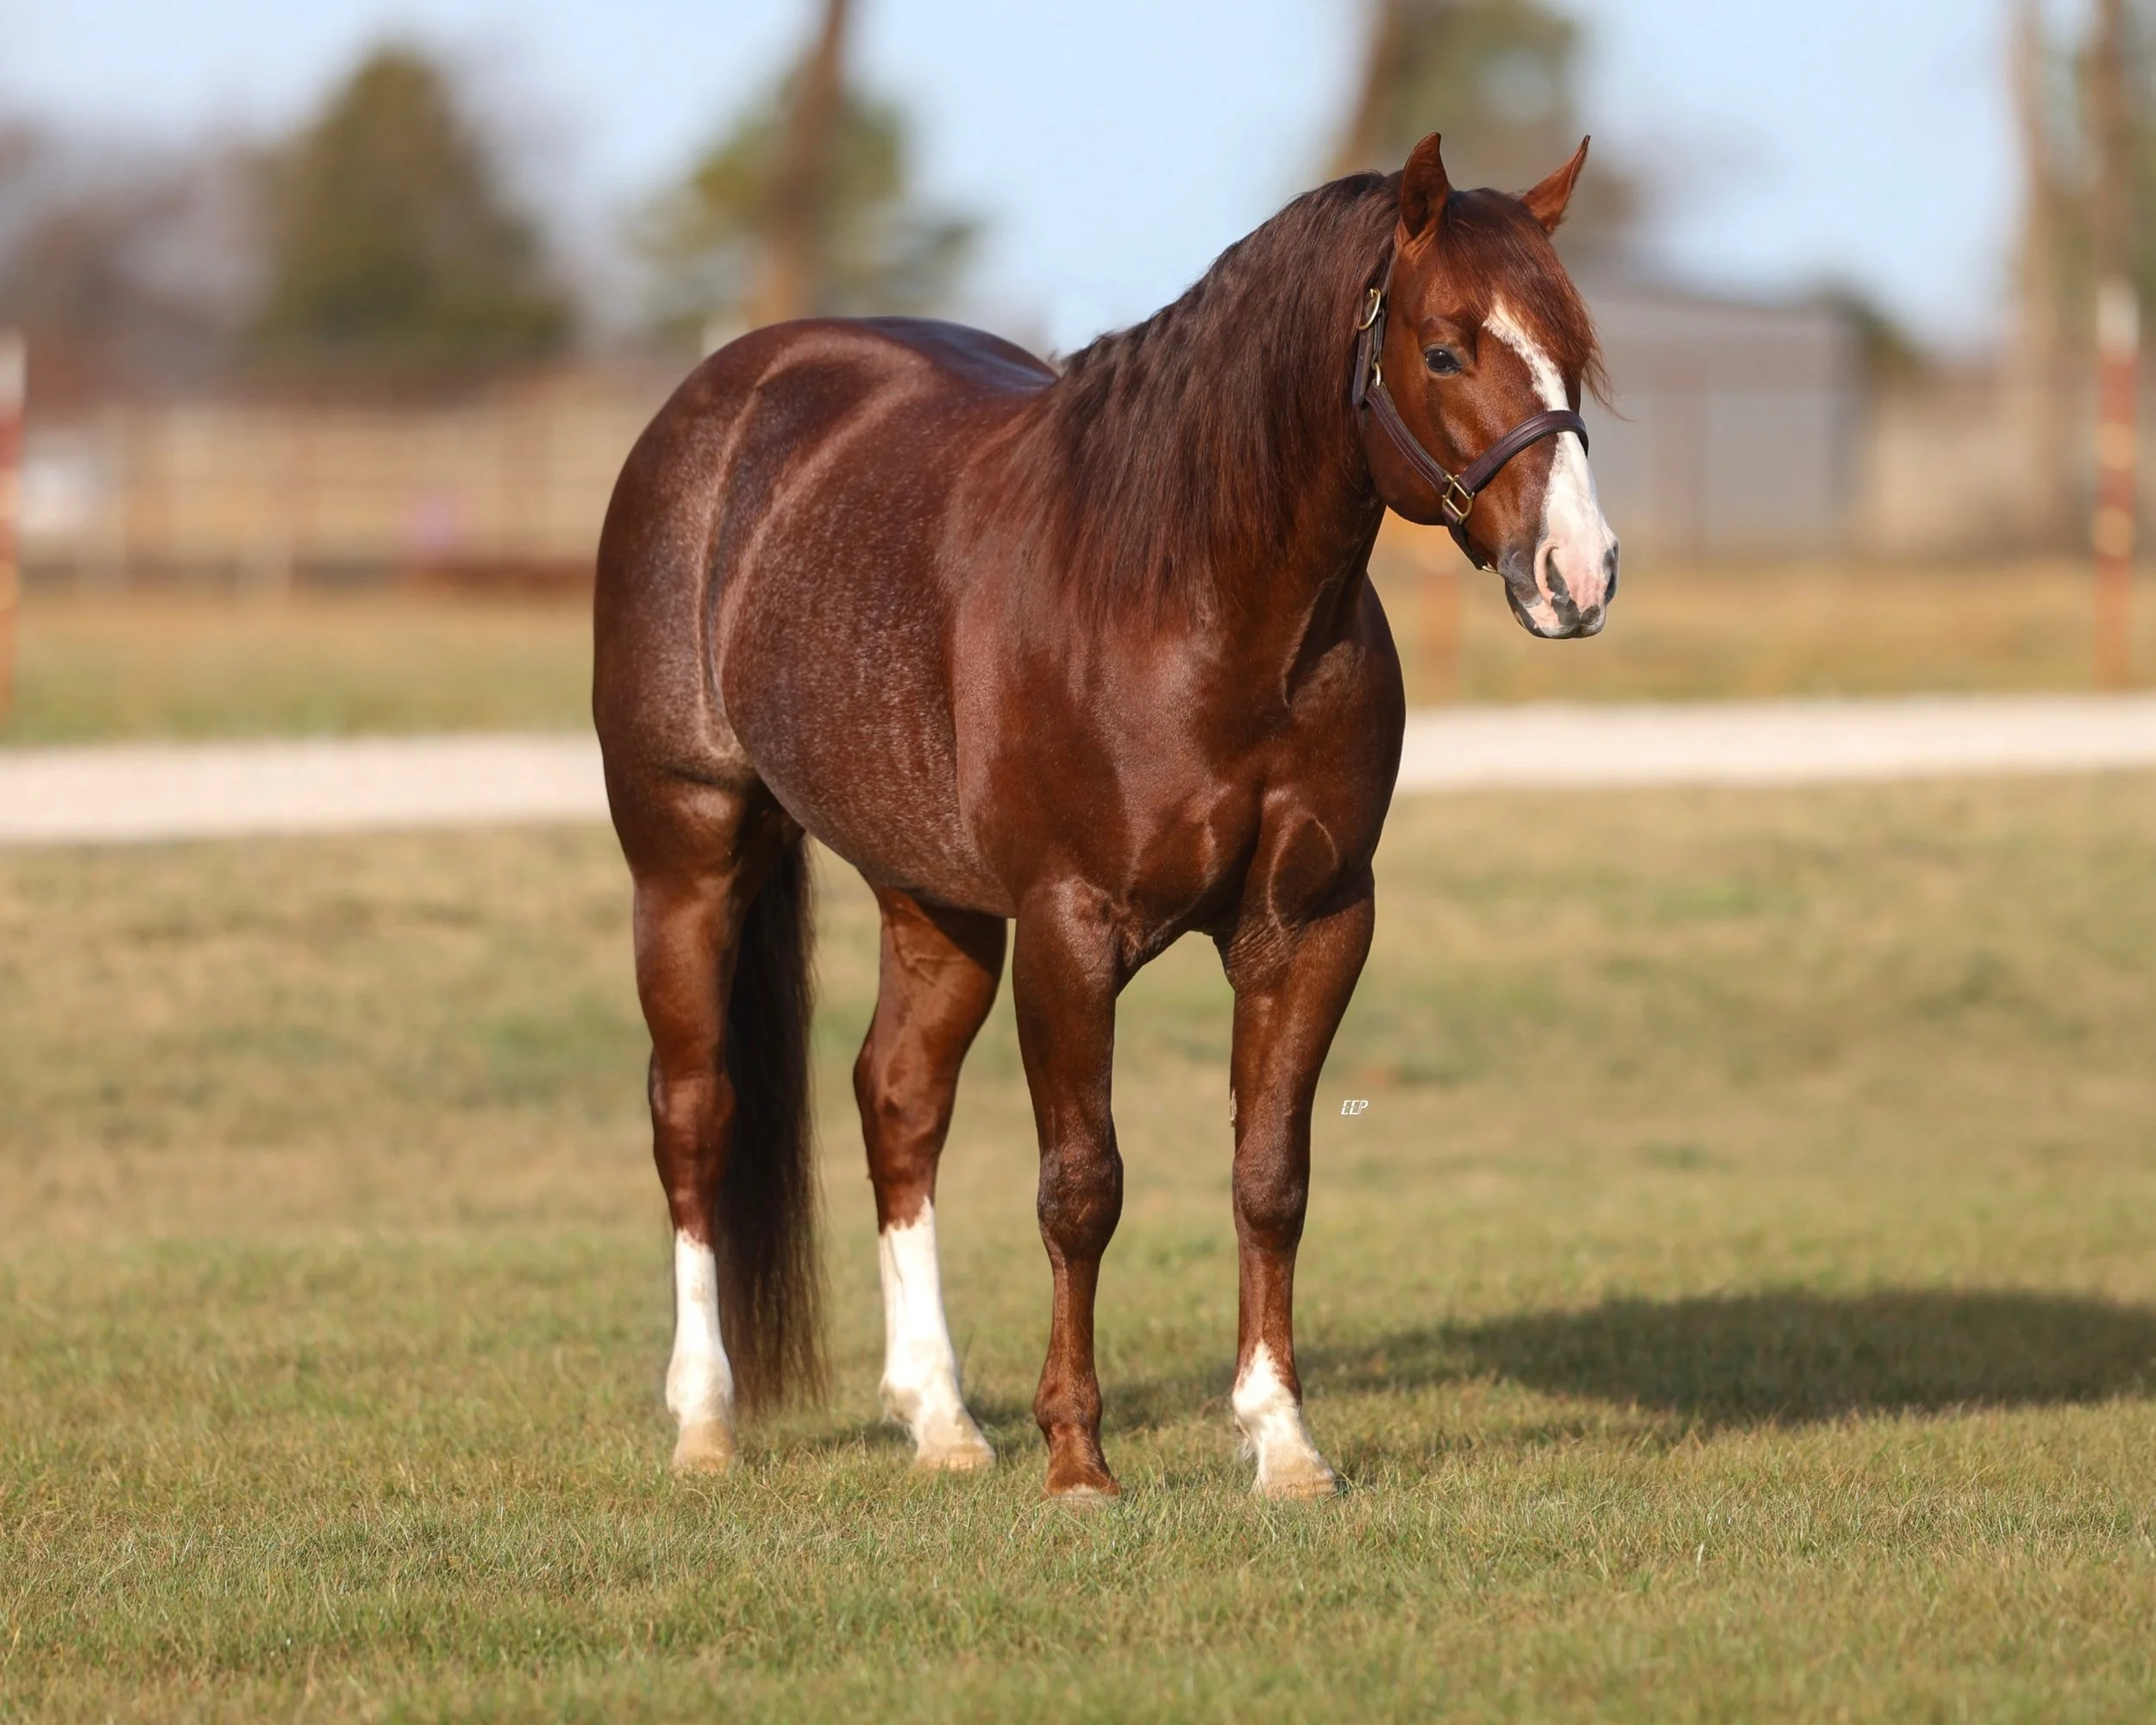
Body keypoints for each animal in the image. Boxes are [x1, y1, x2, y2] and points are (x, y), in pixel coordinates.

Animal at [593, 132, 1618, 1500]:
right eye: (1447, 348)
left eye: (1574, 349)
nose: (1579, 575)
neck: (1197, 603)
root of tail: (721, 397)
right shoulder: (1069, 929)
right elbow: (1082, 1186)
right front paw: (1078, 1454)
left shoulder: (1312, 926)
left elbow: (1269, 1179)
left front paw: (1281, 1440)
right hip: (688, 855)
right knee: (696, 1110)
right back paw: (705, 1423)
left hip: (935, 900)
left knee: (897, 1101)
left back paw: (940, 1418)